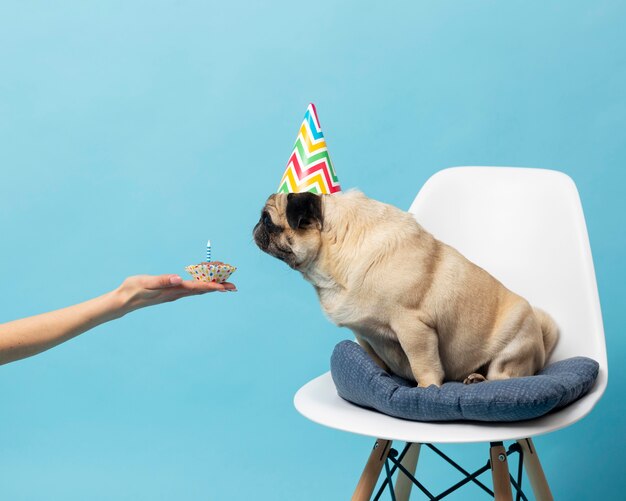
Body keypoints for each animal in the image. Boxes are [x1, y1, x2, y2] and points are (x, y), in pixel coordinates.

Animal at [251, 189, 560, 384]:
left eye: (267, 220)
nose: (254, 227)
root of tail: (541, 337)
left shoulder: (413, 328)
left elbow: (424, 366)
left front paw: (426, 389)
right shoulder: (364, 334)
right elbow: (374, 360)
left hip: (511, 351)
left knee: (502, 377)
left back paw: (479, 380)